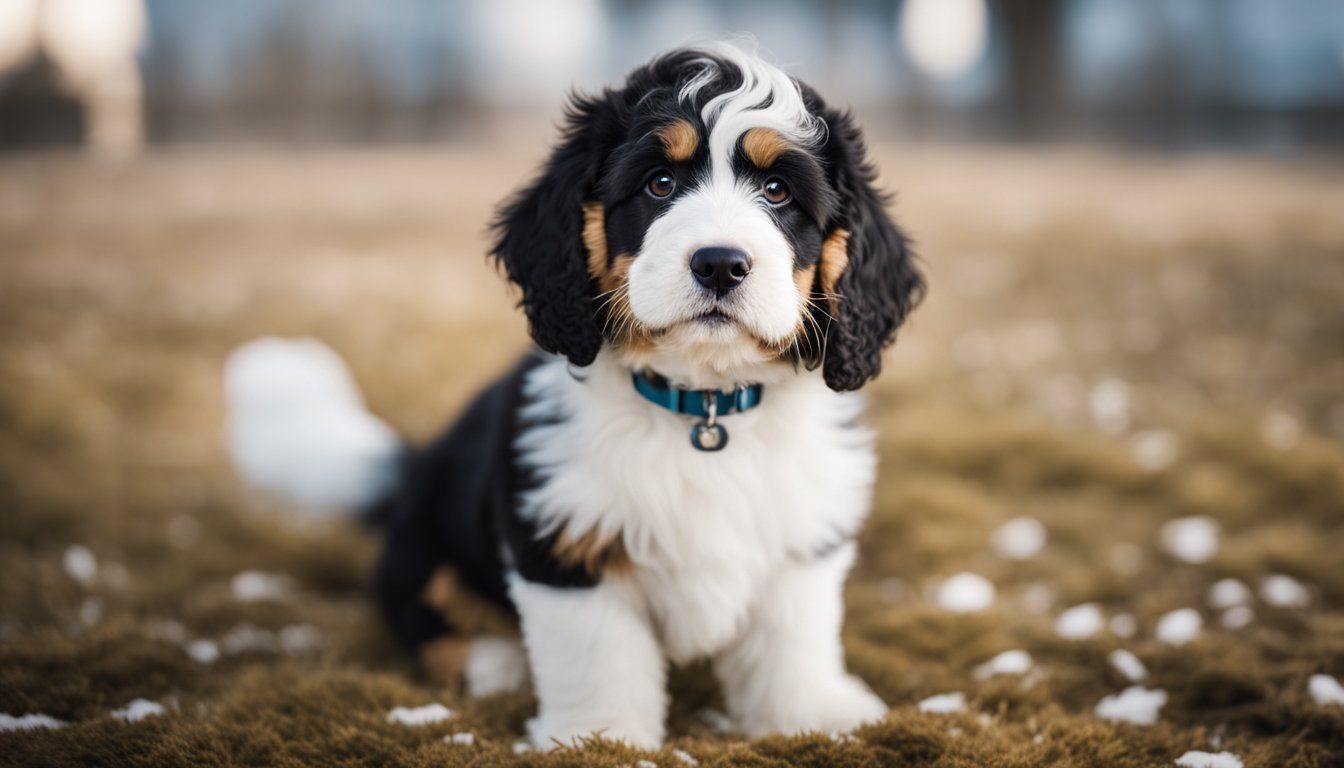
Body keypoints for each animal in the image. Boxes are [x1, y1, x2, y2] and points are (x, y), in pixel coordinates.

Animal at [228, 40, 924, 753]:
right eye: (660, 184)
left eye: (779, 191)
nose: (720, 264)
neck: (702, 407)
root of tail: (413, 473)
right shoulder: (566, 543)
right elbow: (600, 656)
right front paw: (601, 740)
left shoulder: (799, 542)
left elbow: (791, 639)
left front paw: (809, 714)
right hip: (426, 544)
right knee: (422, 613)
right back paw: (496, 662)